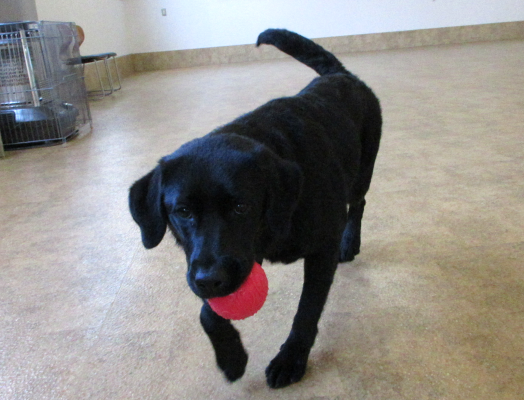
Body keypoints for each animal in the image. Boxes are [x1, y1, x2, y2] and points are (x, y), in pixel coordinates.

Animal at [129, 29, 382, 389]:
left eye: (241, 206)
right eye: (183, 212)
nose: (210, 280)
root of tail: (341, 75)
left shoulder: (321, 251)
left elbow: (307, 310)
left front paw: (291, 359)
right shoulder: (239, 257)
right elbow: (208, 313)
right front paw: (231, 357)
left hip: (362, 171)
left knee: (358, 204)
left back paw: (351, 243)